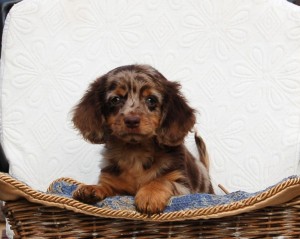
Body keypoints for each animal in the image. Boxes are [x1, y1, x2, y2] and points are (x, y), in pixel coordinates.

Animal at [72, 64, 213, 215]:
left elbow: (162, 180)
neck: (135, 152)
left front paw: (149, 194)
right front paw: (92, 188)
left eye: (151, 99)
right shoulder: (116, 184)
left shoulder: (183, 185)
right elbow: (107, 186)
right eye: (115, 99)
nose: (131, 120)